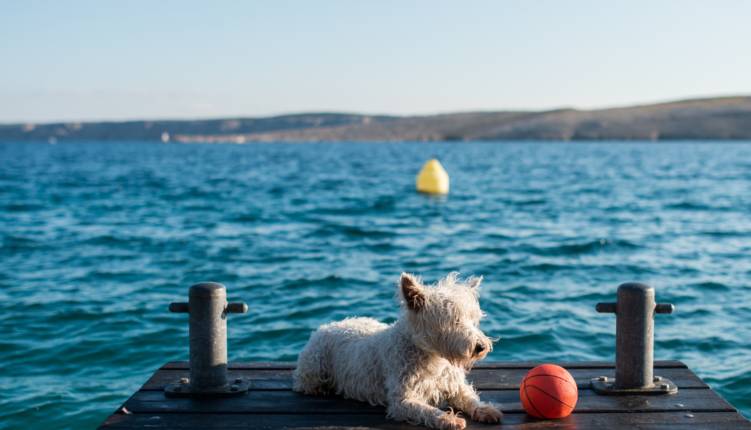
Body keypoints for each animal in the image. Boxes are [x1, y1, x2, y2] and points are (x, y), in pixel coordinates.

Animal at [294, 274, 506, 428]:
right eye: (453, 320)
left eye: (472, 318)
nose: (480, 347)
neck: (432, 357)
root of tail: (324, 327)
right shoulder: (402, 399)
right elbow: (426, 411)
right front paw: (448, 419)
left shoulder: (455, 386)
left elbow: (470, 398)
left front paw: (486, 410)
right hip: (314, 364)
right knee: (304, 382)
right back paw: (320, 388)